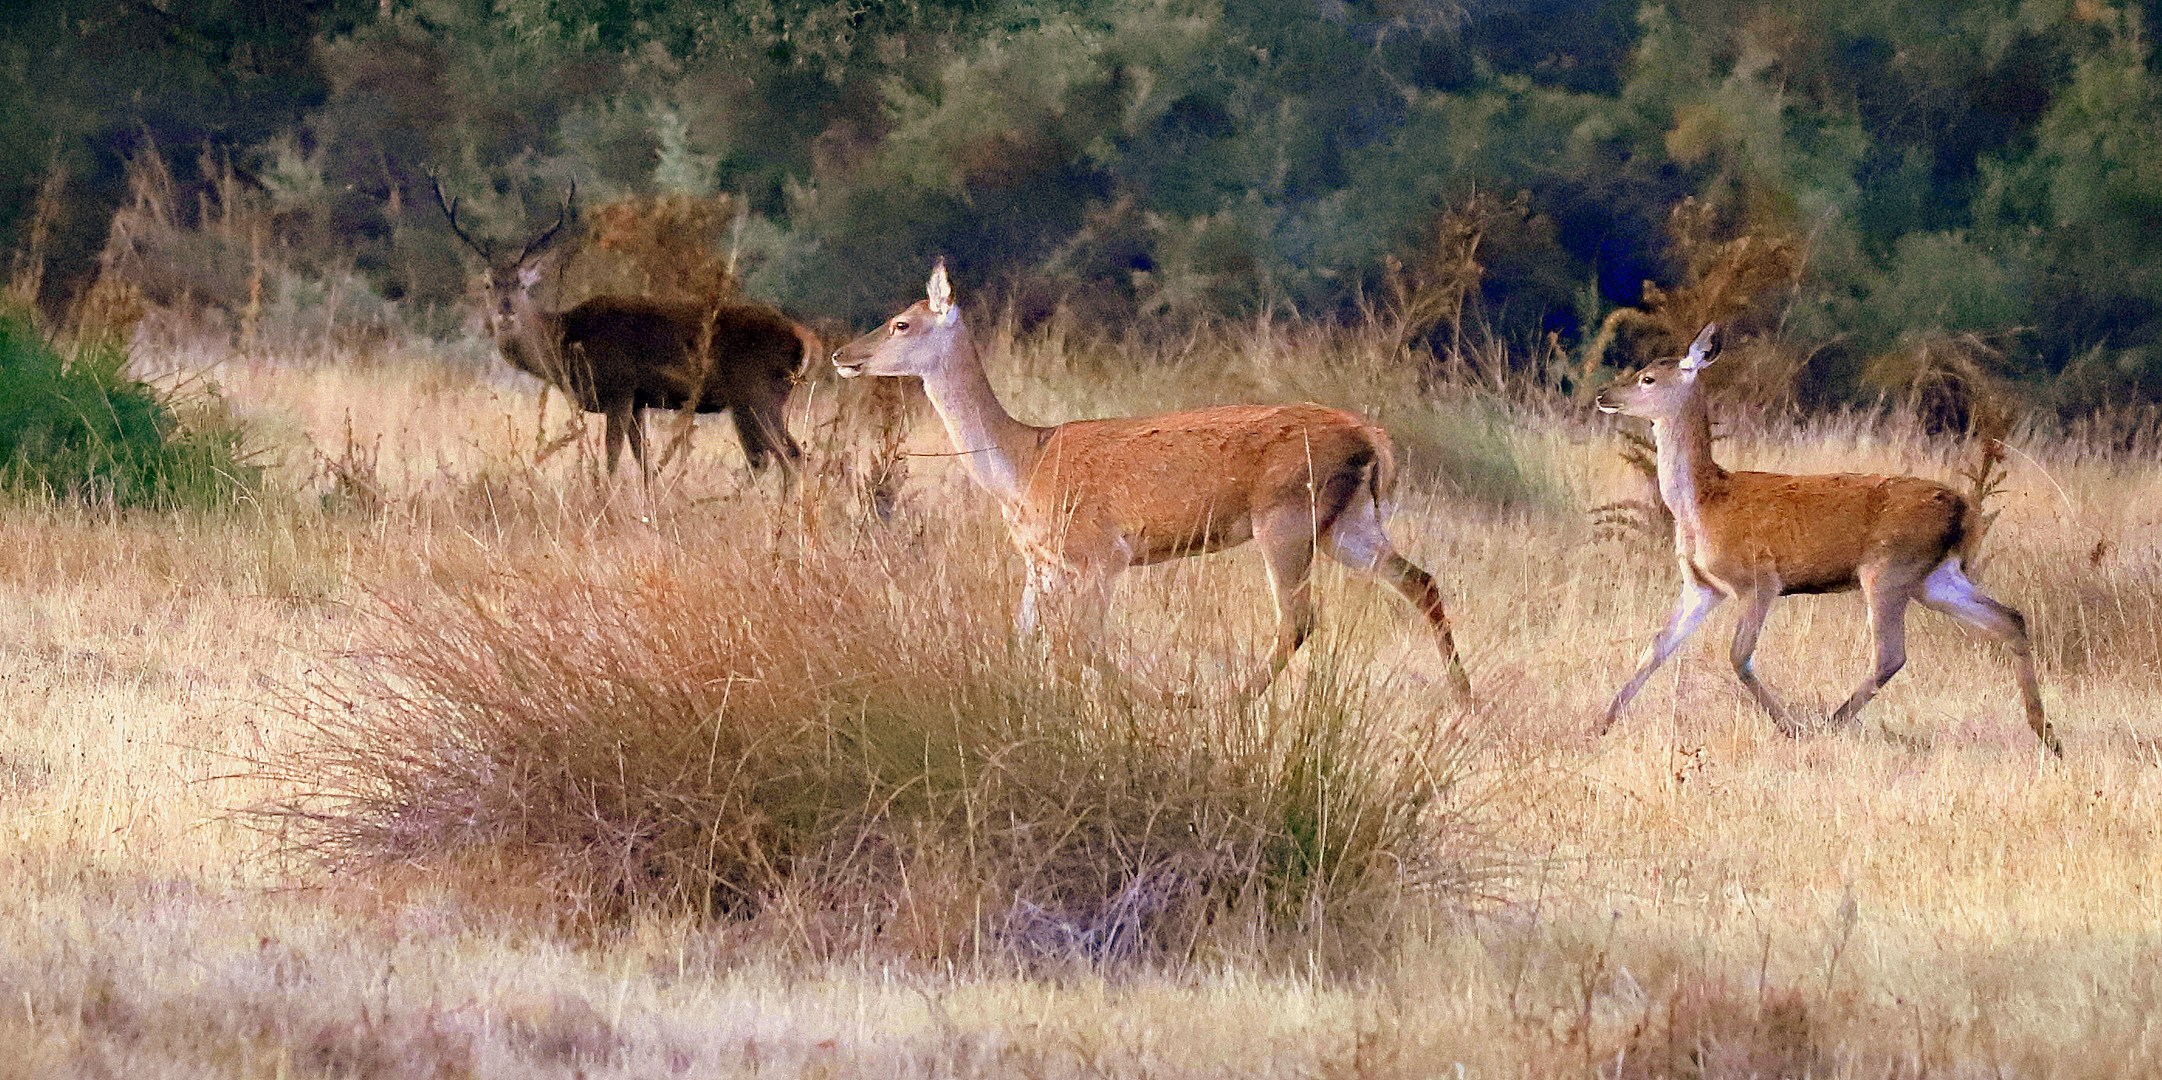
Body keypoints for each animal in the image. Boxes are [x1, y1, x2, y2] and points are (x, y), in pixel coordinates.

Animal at [434, 180, 812, 481]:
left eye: (522, 285)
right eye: (488, 284)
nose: (505, 311)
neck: (566, 343)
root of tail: (801, 343)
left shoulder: (619, 389)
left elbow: (613, 458)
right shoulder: (638, 401)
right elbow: (642, 460)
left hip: (757, 391)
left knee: (788, 457)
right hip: (752, 399)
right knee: (771, 457)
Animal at [825, 259, 1470, 699]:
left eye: (901, 323)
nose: (840, 355)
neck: (1023, 465)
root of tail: (1372, 438)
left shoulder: (1099, 553)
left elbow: (1084, 646)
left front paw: (1135, 700)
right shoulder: (1043, 562)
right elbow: (1025, 638)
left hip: (1287, 515)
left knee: (1299, 619)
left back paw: (1228, 702)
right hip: (1348, 521)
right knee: (1420, 581)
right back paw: (1465, 701)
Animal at [1591, 324, 2058, 756]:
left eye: (1648, 378)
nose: (1602, 395)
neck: (1703, 505)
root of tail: (1963, 510)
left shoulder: (1759, 578)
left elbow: (1739, 656)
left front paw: (1790, 726)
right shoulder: (1701, 585)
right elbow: (1656, 648)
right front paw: (1600, 723)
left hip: (1888, 568)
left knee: (1891, 654)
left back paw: (1830, 724)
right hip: (1934, 577)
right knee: (2009, 619)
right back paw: (2046, 735)